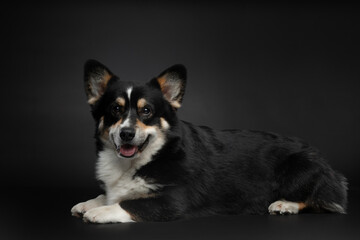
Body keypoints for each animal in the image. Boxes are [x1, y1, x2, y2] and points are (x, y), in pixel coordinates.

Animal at [69, 60, 348, 223]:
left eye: (146, 111)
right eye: (115, 110)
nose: (126, 133)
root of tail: (330, 168)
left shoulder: (174, 201)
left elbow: (129, 203)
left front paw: (100, 212)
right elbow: (110, 195)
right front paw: (89, 203)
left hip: (298, 168)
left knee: (324, 200)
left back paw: (284, 204)